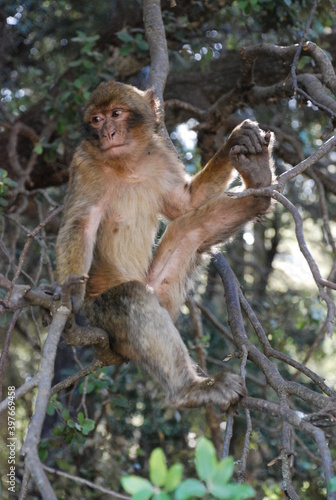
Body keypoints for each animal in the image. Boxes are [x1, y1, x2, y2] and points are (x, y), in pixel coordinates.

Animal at [55, 81, 276, 410]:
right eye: (96, 119)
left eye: (116, 114)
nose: (107, 133)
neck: (126, 165)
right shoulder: (83, 164)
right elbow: (80, 224)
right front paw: (68, 298)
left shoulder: (159, 155)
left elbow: (185, 203)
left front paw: (232, 143)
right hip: (103, 317)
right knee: (131, 298)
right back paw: (189, 390)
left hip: (163, 294)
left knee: (189, 229)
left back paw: (258, 185)